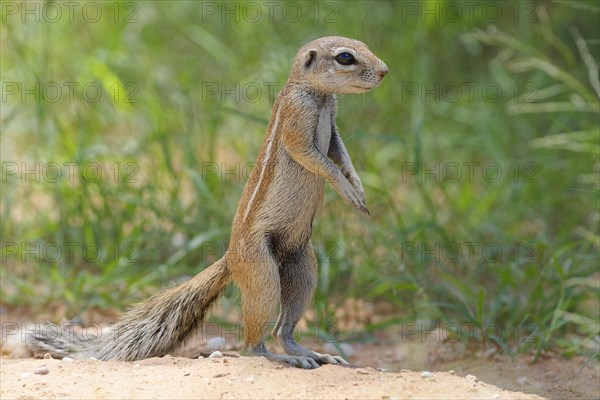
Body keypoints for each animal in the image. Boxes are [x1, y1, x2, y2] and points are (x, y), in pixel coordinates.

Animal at [29, 36, 390, 368]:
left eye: (362, 45)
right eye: (345, 57)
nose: (385, 71)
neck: (320, 96)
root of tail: (230, 258)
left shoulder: (334, 124)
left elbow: (340, 154)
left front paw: (357, 187)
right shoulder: (297, 119)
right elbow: (317, 159)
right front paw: (346, 190)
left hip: (303, 265)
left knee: (284, 329)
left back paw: (313, 354)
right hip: (262, 270)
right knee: (255, 340)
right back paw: (281, 357)